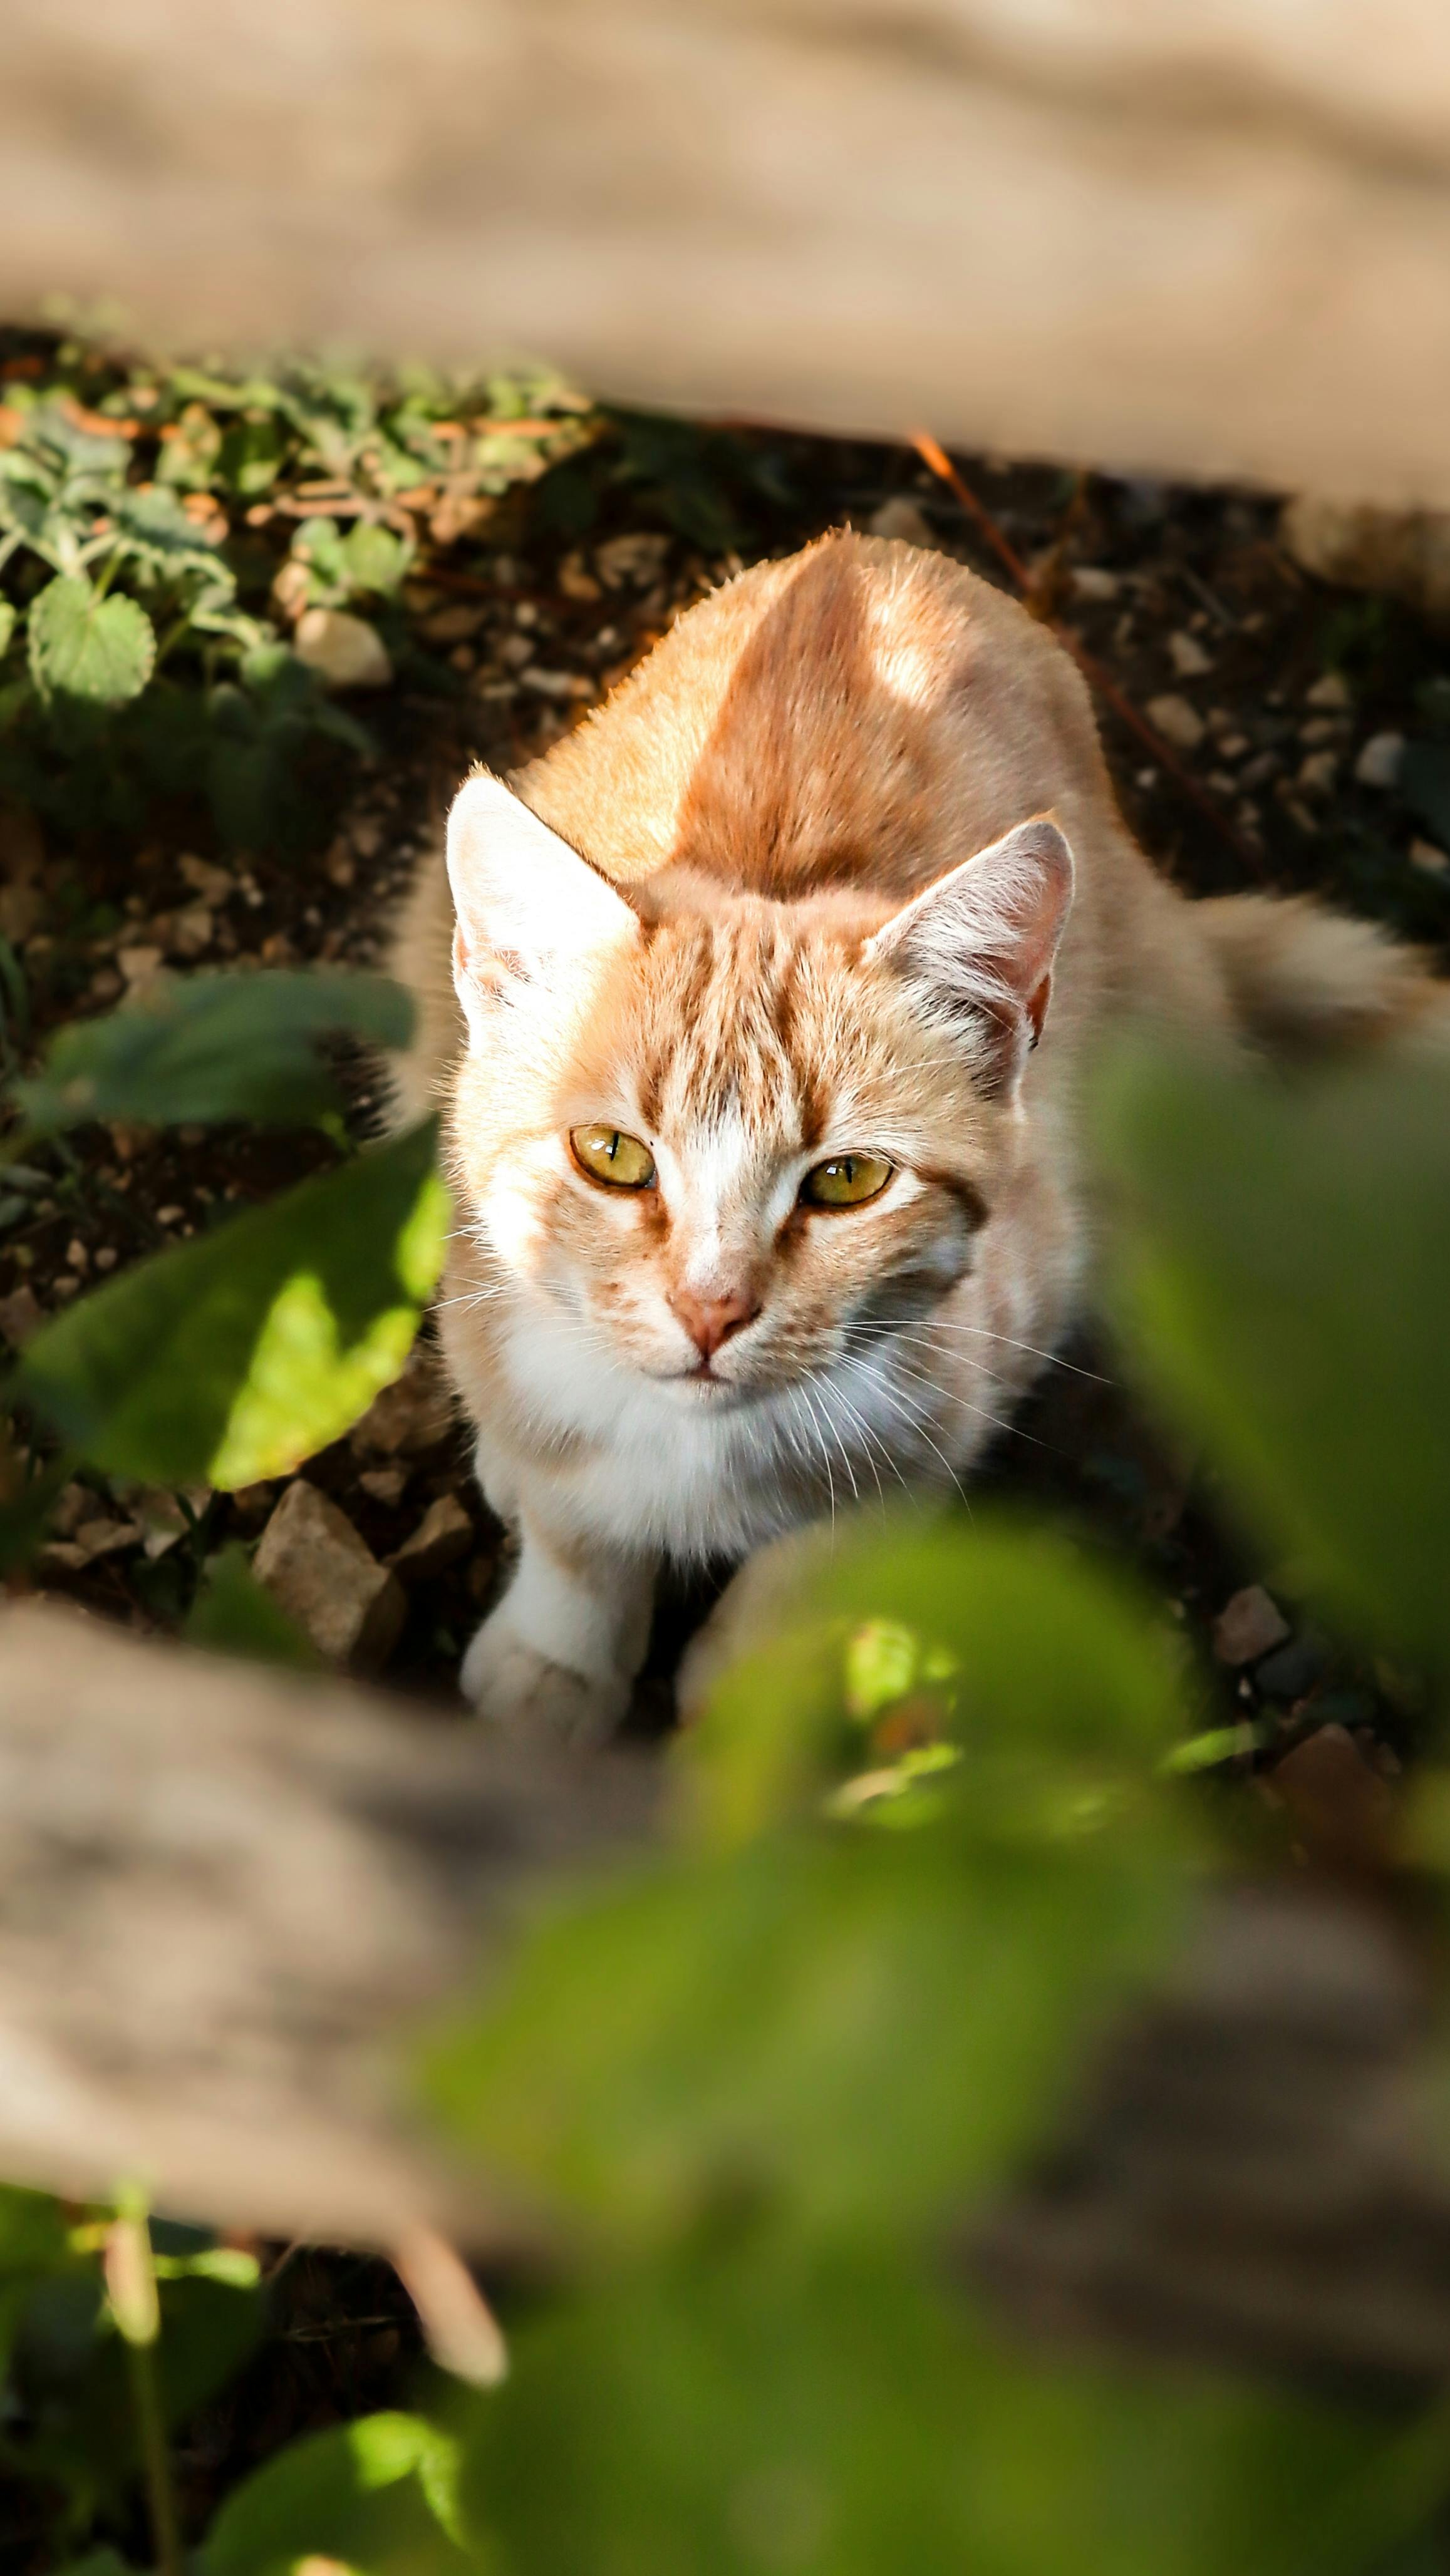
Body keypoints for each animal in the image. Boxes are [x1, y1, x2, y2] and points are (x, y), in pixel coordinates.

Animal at [388, 525, 1442, 1741]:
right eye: (612, 1157)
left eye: (846, 1179)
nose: (710, 1310)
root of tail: (876, 547)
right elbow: (570, 1523)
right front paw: (557, 1655)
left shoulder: (957, 1392)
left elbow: (810, 1566)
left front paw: (746, 1708)